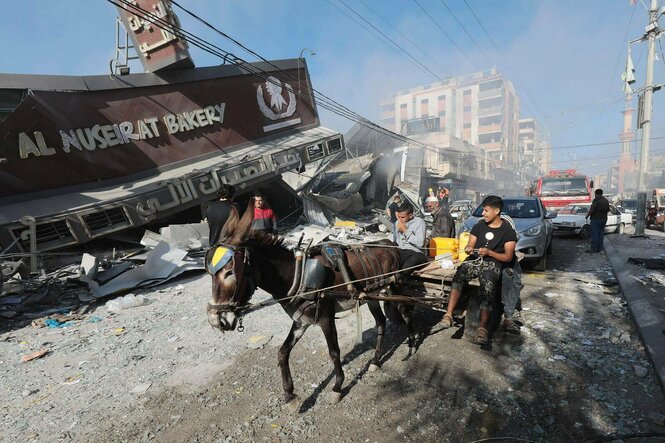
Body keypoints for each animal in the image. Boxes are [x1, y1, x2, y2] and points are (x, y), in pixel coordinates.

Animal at [205, 199, 418, 412]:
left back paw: (411, 345)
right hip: (370, 296)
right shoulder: (301, 320)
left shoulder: (325, 318)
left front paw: (337, 387)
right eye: (211, 273)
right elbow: (282, 353)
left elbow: (334, 352)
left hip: (394, 286)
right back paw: (375, 361)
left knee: (406, 311)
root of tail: (389, 243)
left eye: (229, 272)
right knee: (381, 321)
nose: (216, 319)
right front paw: (290, 395)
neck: (297, 275)